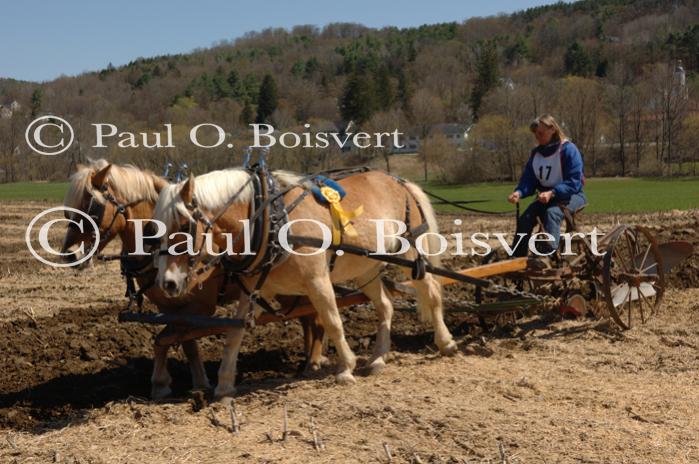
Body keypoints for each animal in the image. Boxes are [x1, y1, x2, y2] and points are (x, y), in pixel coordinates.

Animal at [153, 165, 460, 396]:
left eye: (184, 226)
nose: (167, 284)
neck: (272, 220)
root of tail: (400, 181)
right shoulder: (254, 290)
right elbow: (234, 334)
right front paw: (225, 383)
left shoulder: (317, 280)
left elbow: (333, 321)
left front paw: (345, 367)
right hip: (366, 267)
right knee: (385, 305)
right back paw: (378, 358)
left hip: (412, 253)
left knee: (432, 293)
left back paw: (446, 342)